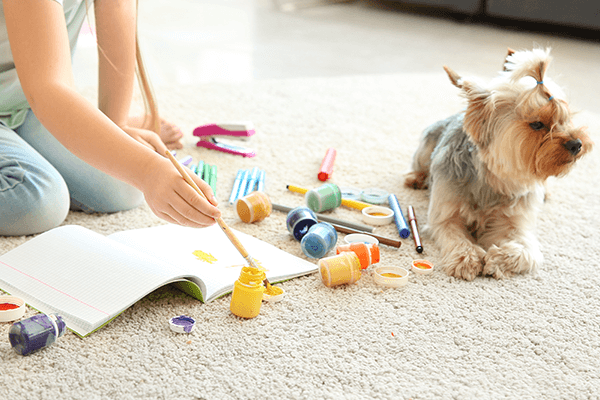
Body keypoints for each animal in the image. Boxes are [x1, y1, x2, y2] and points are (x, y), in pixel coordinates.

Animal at [406, 48, 592, 282]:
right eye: (537, 124)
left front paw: (498, 259)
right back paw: (416, 178)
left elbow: (526, 251)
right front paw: (466, 258)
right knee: (420, 163)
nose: (577, 144)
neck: (495, 177)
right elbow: (454, 234)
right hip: (426, 147)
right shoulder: (445, 215)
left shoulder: (516, 223)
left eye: (565, 119)